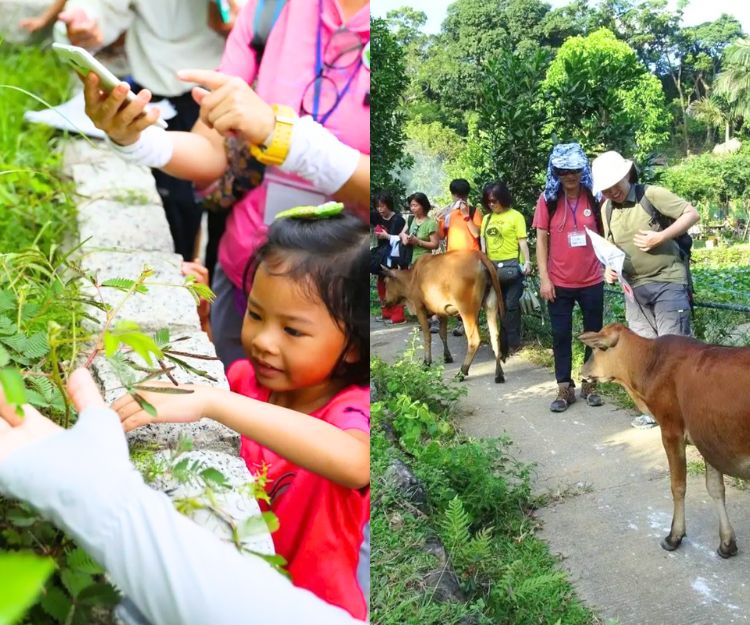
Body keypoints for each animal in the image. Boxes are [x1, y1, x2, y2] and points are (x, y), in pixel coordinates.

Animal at [382, 249, 512, 380]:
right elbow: (443, 334)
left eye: (386, 282)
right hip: (491, 305)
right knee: (495, 336)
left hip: (467, 310)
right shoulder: (442, 311)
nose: (384, 302)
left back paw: (462, 371)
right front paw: (447, 356)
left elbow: (427, 336)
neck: (412, 277)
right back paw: (499, 374)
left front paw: (426, 362)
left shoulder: (420, 309)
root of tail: (480, 256)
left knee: (474, 340)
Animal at [584, 322, 750, 556]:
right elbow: (716, 488)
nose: (583, 371)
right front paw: (727, 543)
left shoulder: (671, 431)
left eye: (599, 348)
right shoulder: (708, 439)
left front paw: (674, 536)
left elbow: (678, 486)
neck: (649, 363)